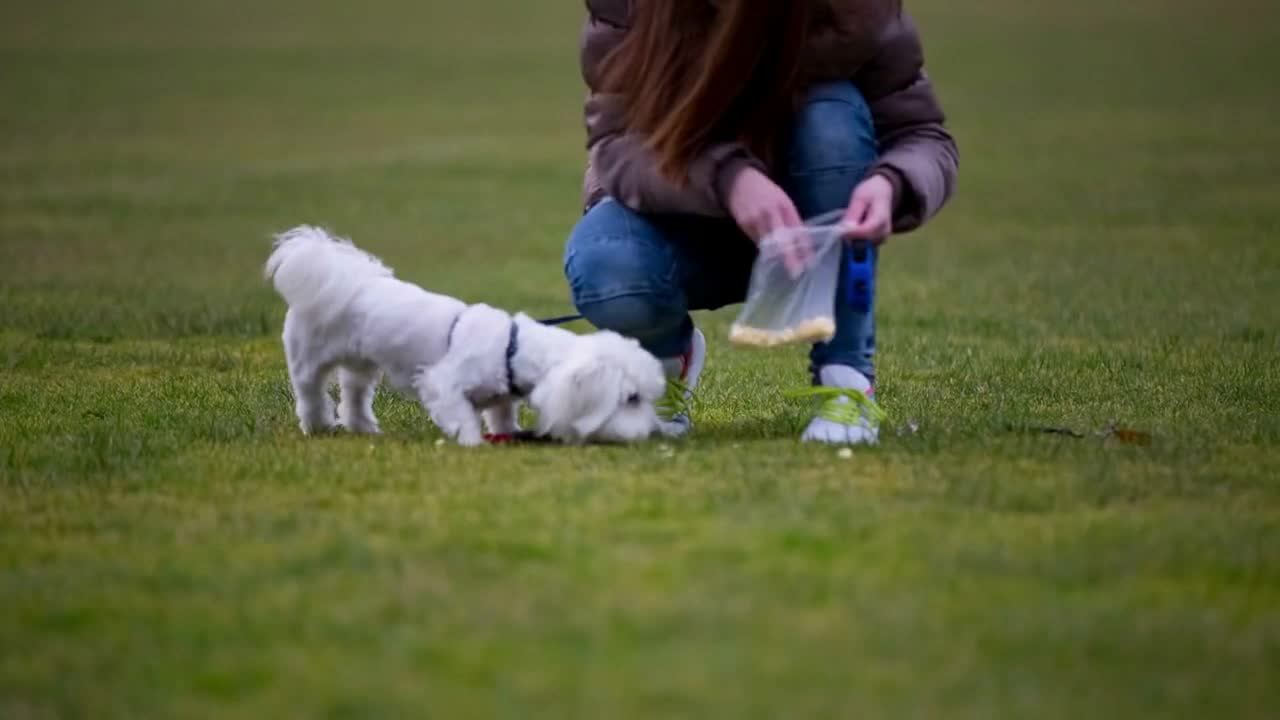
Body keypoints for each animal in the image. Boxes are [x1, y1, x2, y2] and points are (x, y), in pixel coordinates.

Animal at [258, 226, 660, 445]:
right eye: (631, 399)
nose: (650, 432)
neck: (511, 349)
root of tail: (341, 275)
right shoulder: (442, 384)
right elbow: (463, 416)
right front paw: (472, 443)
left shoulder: (501, 397)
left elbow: (502, 417)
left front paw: (509, 433)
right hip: (308, 357)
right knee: (309, 394)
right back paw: (319, 425)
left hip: (362, 365)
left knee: (354, 395)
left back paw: (363, 427)